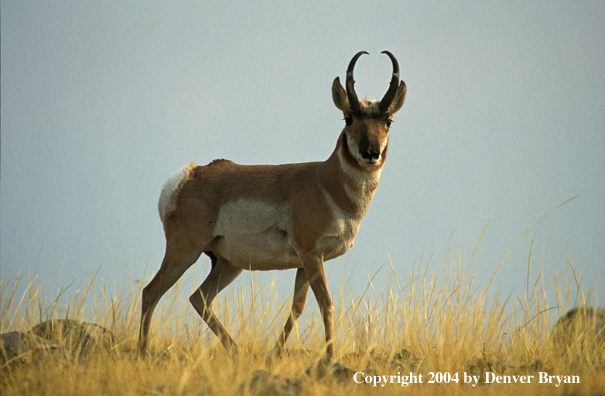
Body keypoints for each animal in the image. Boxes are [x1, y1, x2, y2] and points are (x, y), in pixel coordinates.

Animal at [138, 50, 406, 358]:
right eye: (348, 118)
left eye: (388, 120)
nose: (370, 153)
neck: (325, 181)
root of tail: (188, 175)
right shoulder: (312, 255)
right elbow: (326, 304)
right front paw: (330, 357)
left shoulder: (306, 262)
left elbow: (297, 307)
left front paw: (276, 354)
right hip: (185, 250)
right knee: (151, 291)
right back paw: (142, 352)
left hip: (228, 263)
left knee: (199, 298)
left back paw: (237, 350)